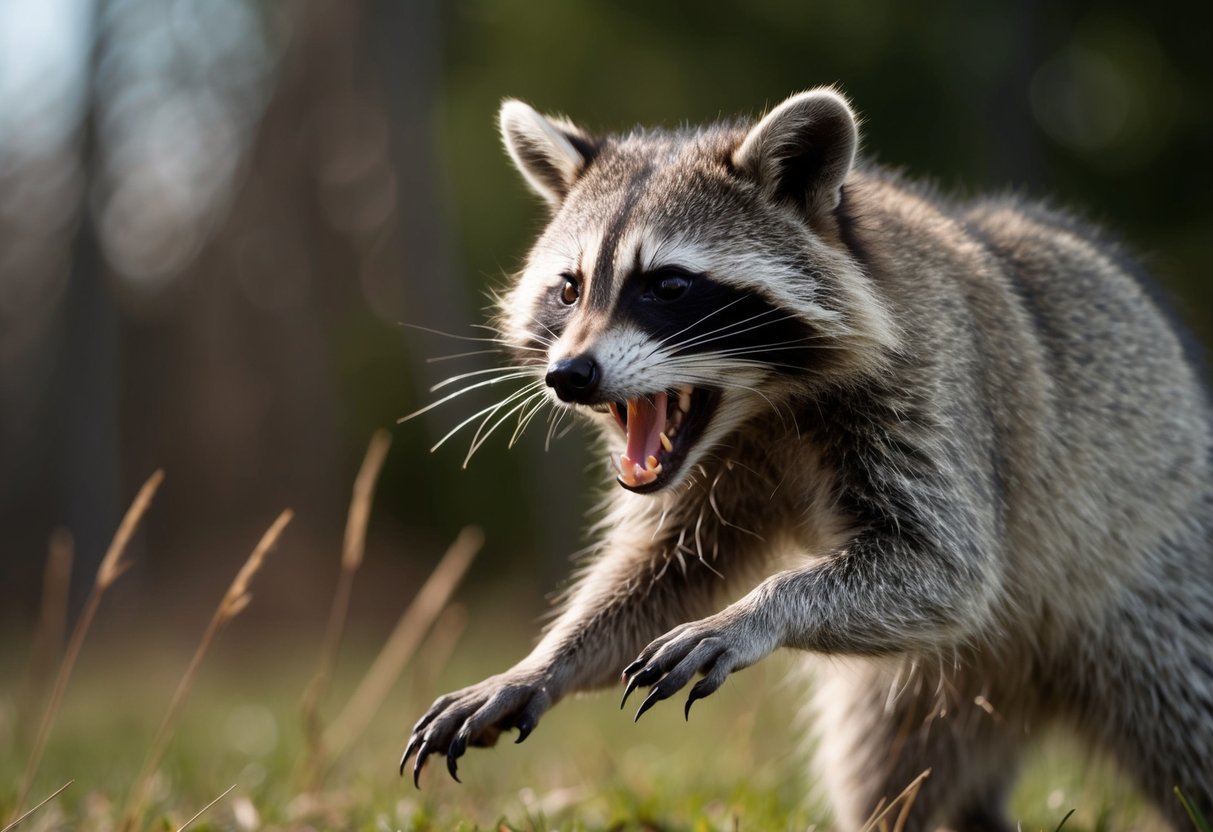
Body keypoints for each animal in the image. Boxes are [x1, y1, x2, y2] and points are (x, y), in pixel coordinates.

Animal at [401, 88, 1213, 830]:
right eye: (568, 289)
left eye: (668, 285)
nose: (568, 376)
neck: (757, 403)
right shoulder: (712, 479)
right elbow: (661, 576)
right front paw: (545, 660)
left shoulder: (931, 393)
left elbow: (946, 569)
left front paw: (756, 611)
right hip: (926, 688)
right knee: (884, 772)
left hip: (1153, 594)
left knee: (1186, 722)